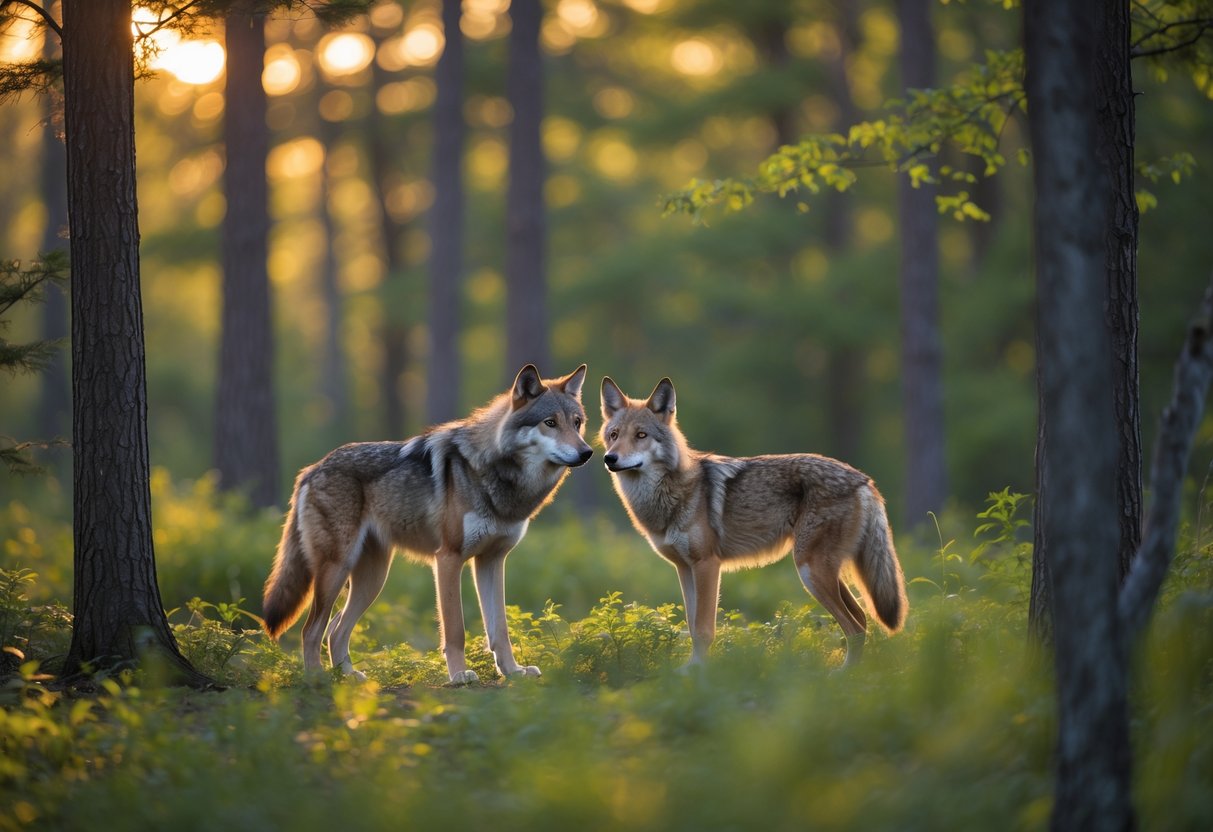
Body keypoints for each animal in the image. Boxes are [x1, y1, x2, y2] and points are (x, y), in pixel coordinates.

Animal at [262, 364, 592, 684]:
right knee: (311, 630)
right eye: (550, 423)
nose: (587, 452)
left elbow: (500, 629)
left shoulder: (492, 561)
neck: (494, 474)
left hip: (372, 580)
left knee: (335, 629)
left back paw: (348, 677)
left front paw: (512, 671)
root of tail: (311, 469)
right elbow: (455, 630)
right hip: (336, 570)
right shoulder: (448, 559)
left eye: (577, 423)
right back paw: (317, 679)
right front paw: (459, 676)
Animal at [599, 376, 907, 669]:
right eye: (614, 435)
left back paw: (844, 676)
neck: (669, 494)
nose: (609, 458)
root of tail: (864, 480)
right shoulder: (684, 569)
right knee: (862, 620)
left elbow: (703, 630)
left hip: (811, 571)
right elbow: (692, 626)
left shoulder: (707, 564)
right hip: (822, 574)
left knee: (855, 627)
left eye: (641, 435)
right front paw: (689, 670)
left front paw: (698, 673)